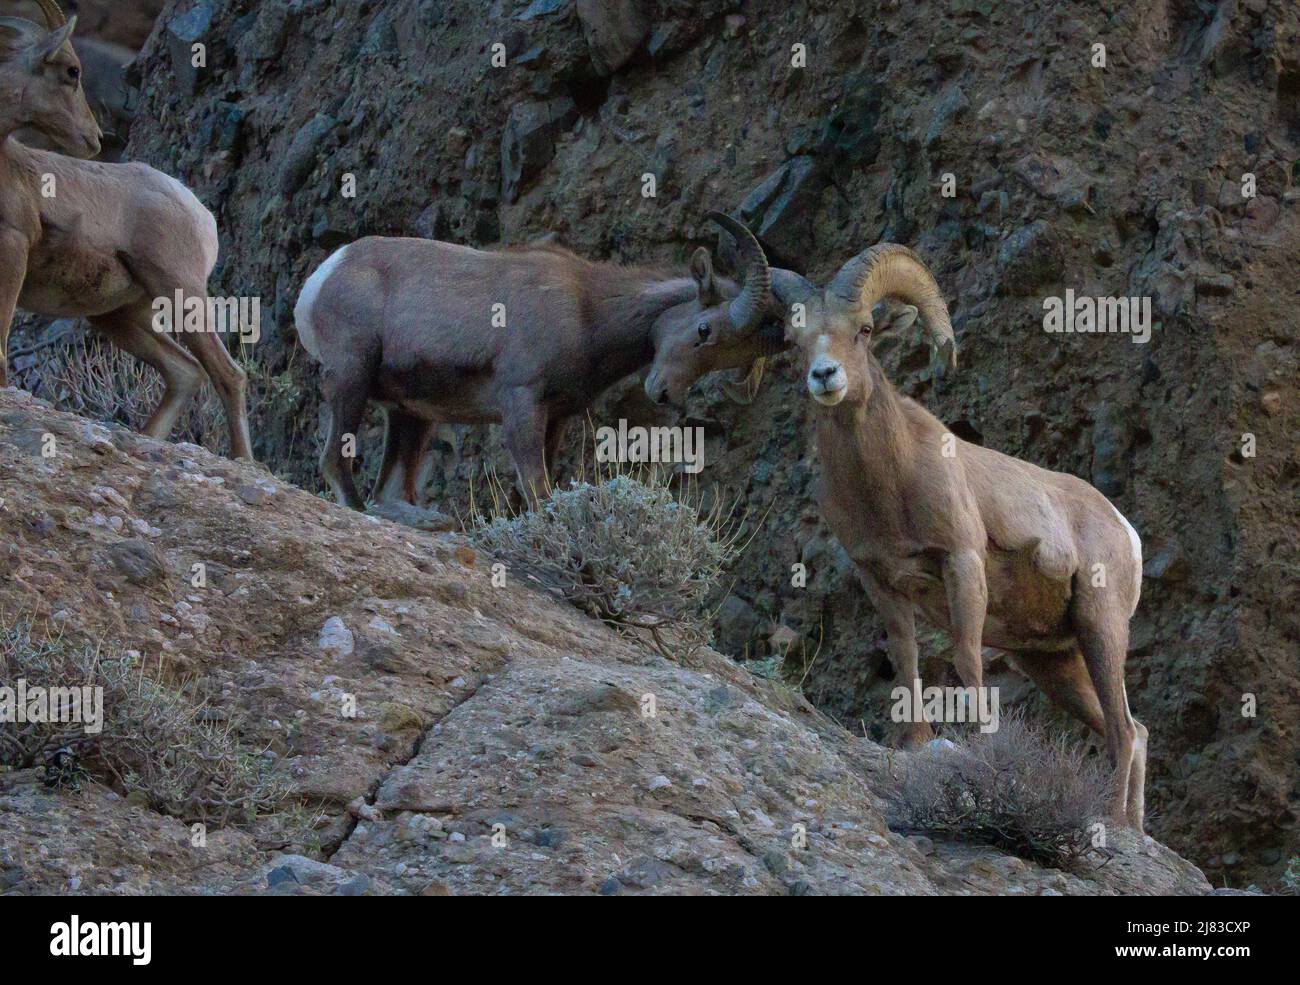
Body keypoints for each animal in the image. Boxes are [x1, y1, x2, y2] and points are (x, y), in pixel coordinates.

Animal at [0, 0, 250, 460]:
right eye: (71, 71)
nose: (95, 138)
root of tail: (197, 210)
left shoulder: (13, 247)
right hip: (123, 316)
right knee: (185, 372)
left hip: (179, 291)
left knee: (227, 373)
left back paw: (244, 462)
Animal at [296, 213, 780, 511]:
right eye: (704, 330)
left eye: (725, 357)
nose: (663, 393)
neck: (587, 311)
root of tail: (324, 276)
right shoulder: (521, 402)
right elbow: (538, 491)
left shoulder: (555, 418)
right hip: (352, 379)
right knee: (334, 463)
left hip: (412, 416)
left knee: (391, 489)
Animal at [681, 241, 1149, 831]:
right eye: (793, 340)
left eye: (863, 329)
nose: (825, 375)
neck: (889, 484)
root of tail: (1123, 528)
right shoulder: (881, 581)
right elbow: (905, 657)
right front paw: (916, 744)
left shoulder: (962, 563)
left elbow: (967, 659)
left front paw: (982, 749)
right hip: (1054, 663)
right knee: (1135, 730)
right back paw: (1133, 827)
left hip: (1099, 625)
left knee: (1123, 730)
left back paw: (1112, 822)